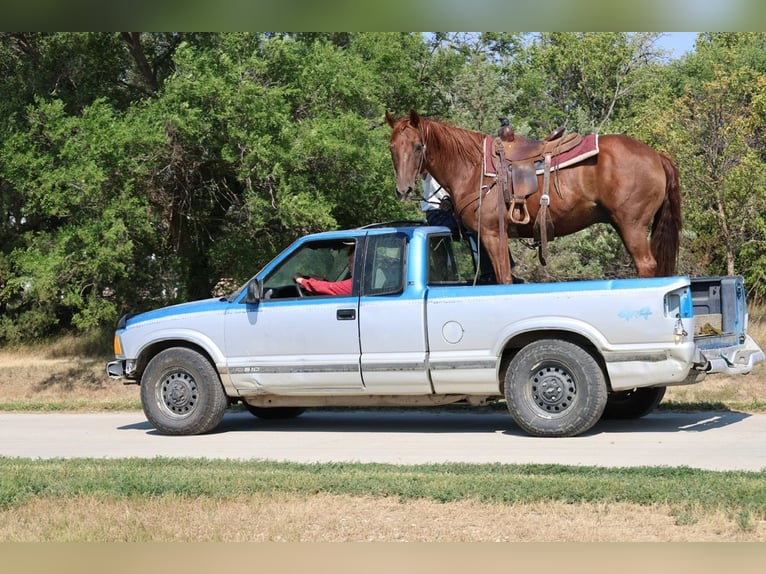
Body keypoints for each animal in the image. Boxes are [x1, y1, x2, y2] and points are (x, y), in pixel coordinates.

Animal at [386, 109, 682, 285]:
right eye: (392, 147)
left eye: (418, 146)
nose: (403, 190)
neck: (472, 168)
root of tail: (657, 156)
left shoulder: (493, 234)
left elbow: (504, 279)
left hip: (632, 225)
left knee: (646, 266)